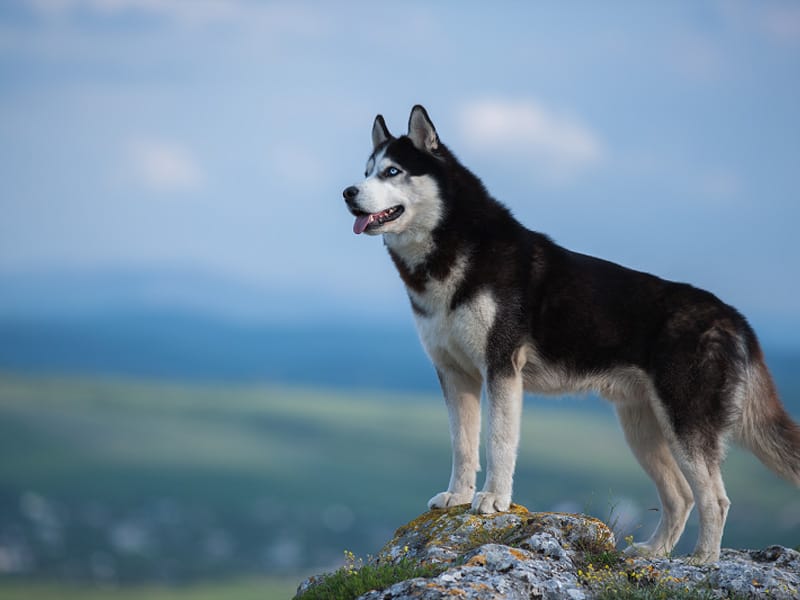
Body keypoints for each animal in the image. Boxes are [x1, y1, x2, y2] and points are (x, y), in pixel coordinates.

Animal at [340, 104, 796, 564]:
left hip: (684, 423)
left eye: (393, 171)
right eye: (366, 171)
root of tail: (735, 318)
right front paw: (458, 495)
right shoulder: (454, 374)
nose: (347, 192)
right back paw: (653, 553)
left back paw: (702, 560)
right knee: (682, 496)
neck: (450, 249)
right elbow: (463, 445)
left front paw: (493, 499)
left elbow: (498, 441)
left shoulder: (501, 368)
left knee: (715, 500)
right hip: (642, 428)